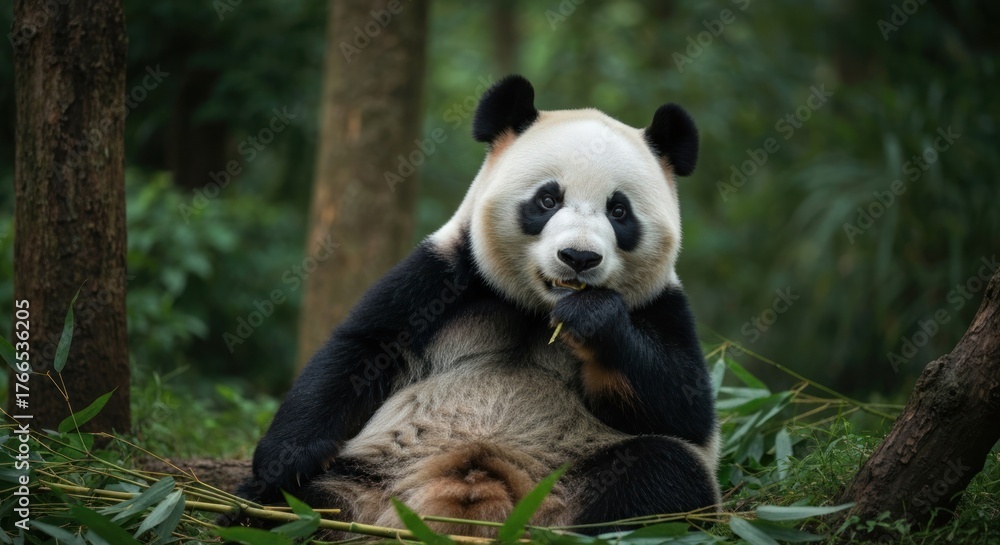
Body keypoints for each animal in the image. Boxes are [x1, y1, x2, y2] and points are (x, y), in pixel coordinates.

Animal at [235, 75, 719, 538]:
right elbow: (362, 349)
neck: (537, 308)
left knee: (664, 472)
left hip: (576, 471)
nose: (579, 258)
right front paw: (286, 459)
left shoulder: (662, 305)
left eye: (619, 211)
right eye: (548, 199)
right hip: (370, 472)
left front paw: (593, 318)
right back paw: (266, 510)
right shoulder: (445, 275)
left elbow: (684, 404)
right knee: (293, 501)